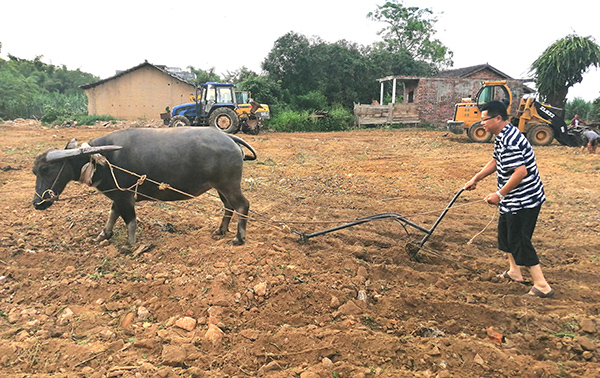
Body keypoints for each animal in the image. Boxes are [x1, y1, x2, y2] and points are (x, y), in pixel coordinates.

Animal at [32, 127, 256, 245]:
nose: (37, 203)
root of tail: (228, 137)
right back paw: (221, 230)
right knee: (228, 206)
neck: (102, 160)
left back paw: (239, 238)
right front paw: (104, 234)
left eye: (46, 169)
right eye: (35, 171)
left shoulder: (125, 197)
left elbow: (130, 220)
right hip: (220, 187)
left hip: (229, 184)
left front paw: (130, 244)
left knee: (242, 205)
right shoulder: (118, 195)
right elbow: (113, 214)